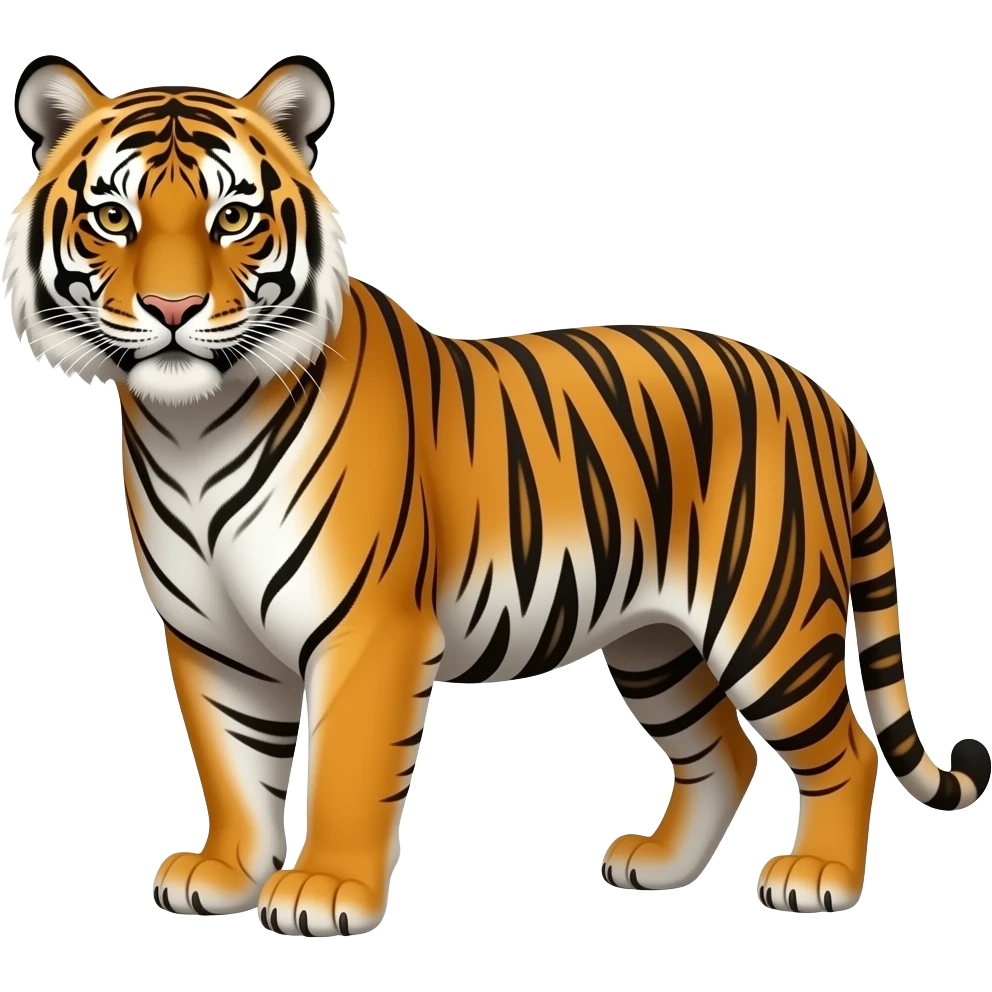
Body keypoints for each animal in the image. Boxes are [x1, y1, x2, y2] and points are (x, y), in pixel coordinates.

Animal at [4, 53, 988, 937]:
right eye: (114, 217)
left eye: (234, 217)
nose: (172, 311)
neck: (194, 427)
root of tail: (816, 393)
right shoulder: (212, 637)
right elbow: (232, 762)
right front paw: (226, 873)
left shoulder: (369, 630)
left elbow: (347, 766)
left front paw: (325, 891)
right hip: (655, 641)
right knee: (724, 751)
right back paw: (659, 865)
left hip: (768, 620)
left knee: (845, 748)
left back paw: (818, 878)